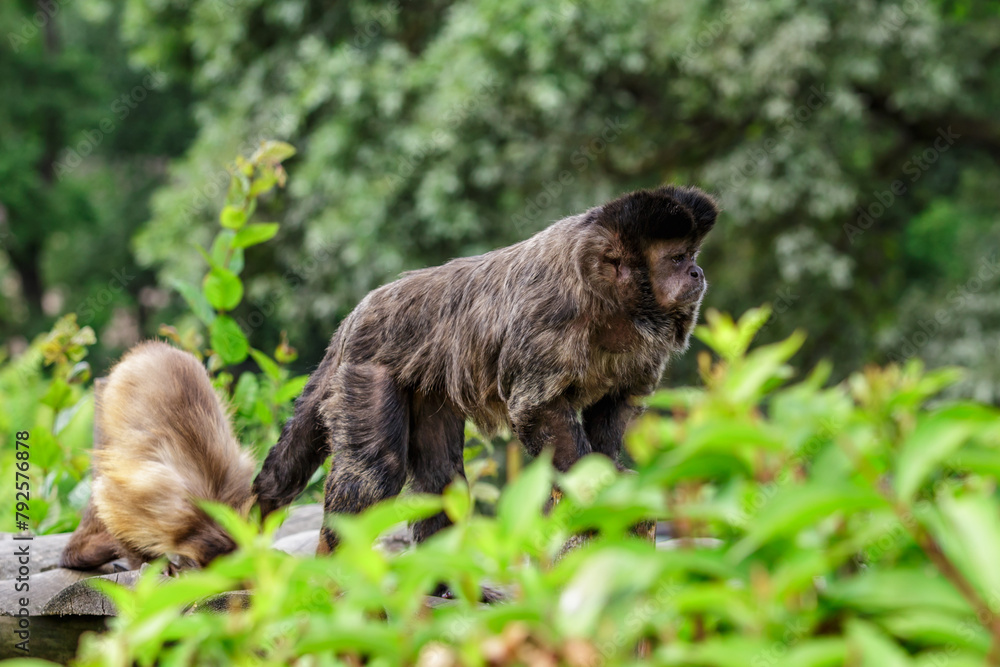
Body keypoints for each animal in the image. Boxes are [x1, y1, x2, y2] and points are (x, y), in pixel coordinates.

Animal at [253, 185, 718, 554]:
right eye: (677, 259)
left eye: (692, 256)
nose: (698, 271)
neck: (608, 304)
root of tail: (358, 312)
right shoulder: (550, 314)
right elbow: (535, 407)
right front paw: (586, 479)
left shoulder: (644, 349)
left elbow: (618, 403)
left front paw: (608, 466)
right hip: (368, 365)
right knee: (374, 472)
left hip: (425, 381)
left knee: (442, 479)